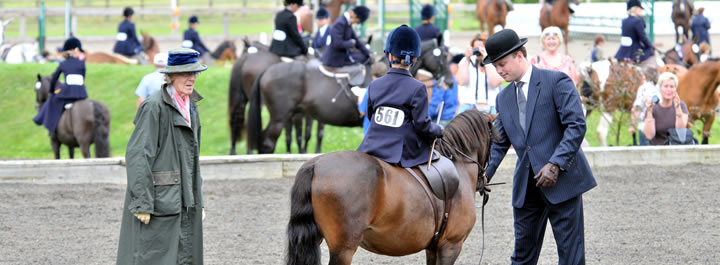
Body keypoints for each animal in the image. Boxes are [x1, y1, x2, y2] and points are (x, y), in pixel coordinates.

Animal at [286, 108, 496, 264]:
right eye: (494, 137)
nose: (483, 181)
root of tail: (316, 164)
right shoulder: (451, 246)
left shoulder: (433, 247)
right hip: (343, 250)